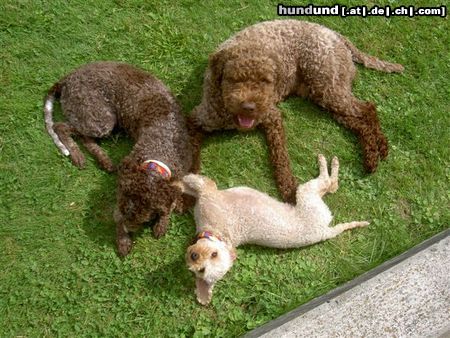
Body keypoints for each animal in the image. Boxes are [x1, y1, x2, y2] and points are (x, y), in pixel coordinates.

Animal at [44, 61, 197, 256]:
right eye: (125, 213)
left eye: (141, 220)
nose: (125, 229)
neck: (160, 148)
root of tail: (67, 78)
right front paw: (123, 240)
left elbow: (172, 199)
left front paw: (163, 220)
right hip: (100, 118)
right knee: (61, 127)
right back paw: (77, 155)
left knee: (83, 137)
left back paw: (104, 160)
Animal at [179, 156, 370, 306]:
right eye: (201, 271)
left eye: (214, 255)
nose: (193, 255)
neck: (215, 231)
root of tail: (323, 230)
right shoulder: (207, 194)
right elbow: (190, 185)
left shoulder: (208, 190)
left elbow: (190, 180)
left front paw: (178, 183)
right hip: (311, 199)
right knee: (330, 185)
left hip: (307, 196)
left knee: (328, 182)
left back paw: (327, 162)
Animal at [190, 19, 404, 203]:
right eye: (233, 79)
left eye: (265, 80)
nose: (249, 107)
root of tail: (334, 34)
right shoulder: (197, 119)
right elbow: (189, 155)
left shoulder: (272, 116)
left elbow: (281, 158)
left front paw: (289, 189)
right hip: (324, 96)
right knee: (360, 120)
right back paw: (374, 151)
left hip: (326, 85)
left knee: (368, 108)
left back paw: (378, 151)